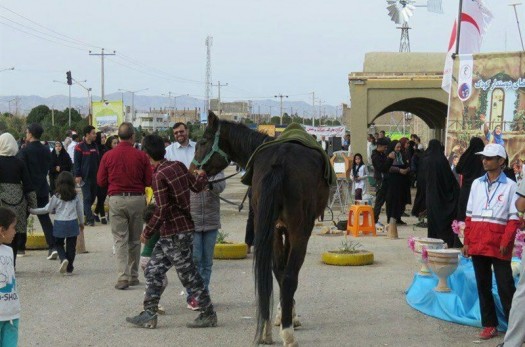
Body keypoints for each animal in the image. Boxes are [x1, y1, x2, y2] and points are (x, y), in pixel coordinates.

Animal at [190, 113, 330, 346]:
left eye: (202, 142)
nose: (192, 173)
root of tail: (279, 161)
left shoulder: (275, 230)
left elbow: (277, 271)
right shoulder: (286, 230)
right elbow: (284, 272)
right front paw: (288, 316)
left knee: (274, 273)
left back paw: (266, 330)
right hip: (299, 231)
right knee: (289, 276)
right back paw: (288, 333)